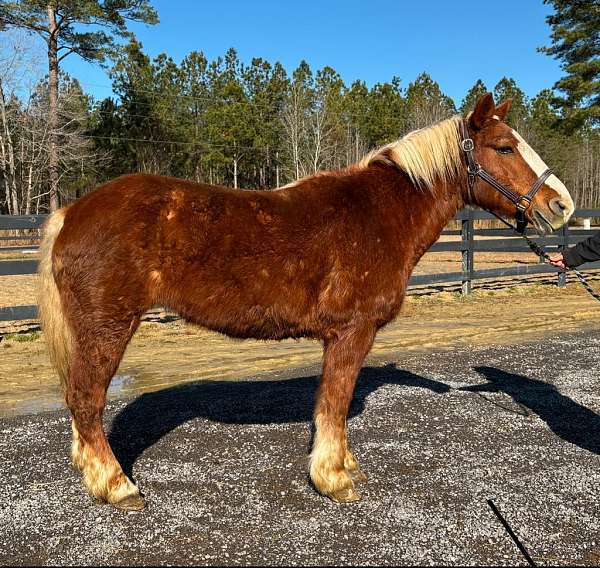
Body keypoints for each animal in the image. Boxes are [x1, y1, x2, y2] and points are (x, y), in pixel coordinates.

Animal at [38, 93, 576, 510]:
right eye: (504, 147)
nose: (562, 205)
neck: (379, 215)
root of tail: (71, 212)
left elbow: (331, 405)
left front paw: (343, 465)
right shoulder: (351, 331)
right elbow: (334, 402)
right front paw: (334, 479)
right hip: (108, 326)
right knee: (86, 400)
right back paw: (117, 486)